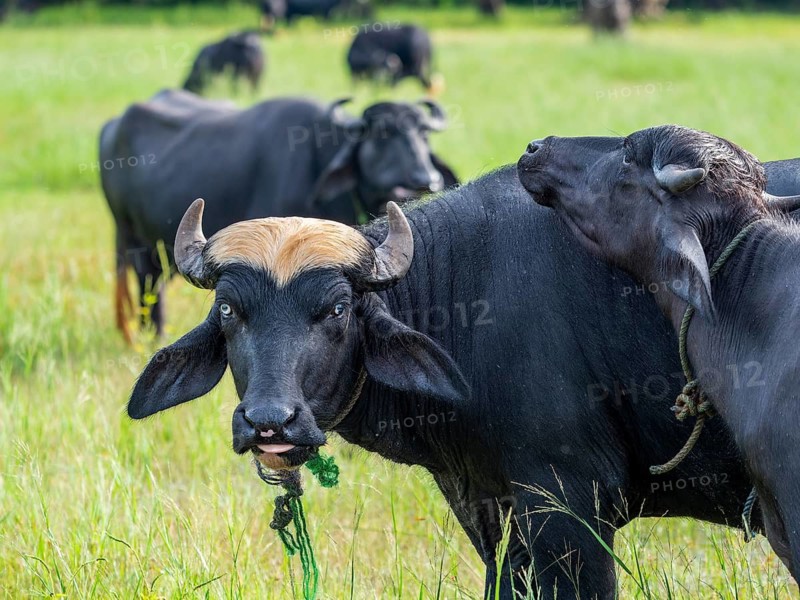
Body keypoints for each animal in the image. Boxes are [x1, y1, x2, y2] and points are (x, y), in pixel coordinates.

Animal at [99, 90, 456, 341]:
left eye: (424, 134)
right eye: (382, 134)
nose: (425, 178)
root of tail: (112, 127)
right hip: (133, 238)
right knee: (148, 286)